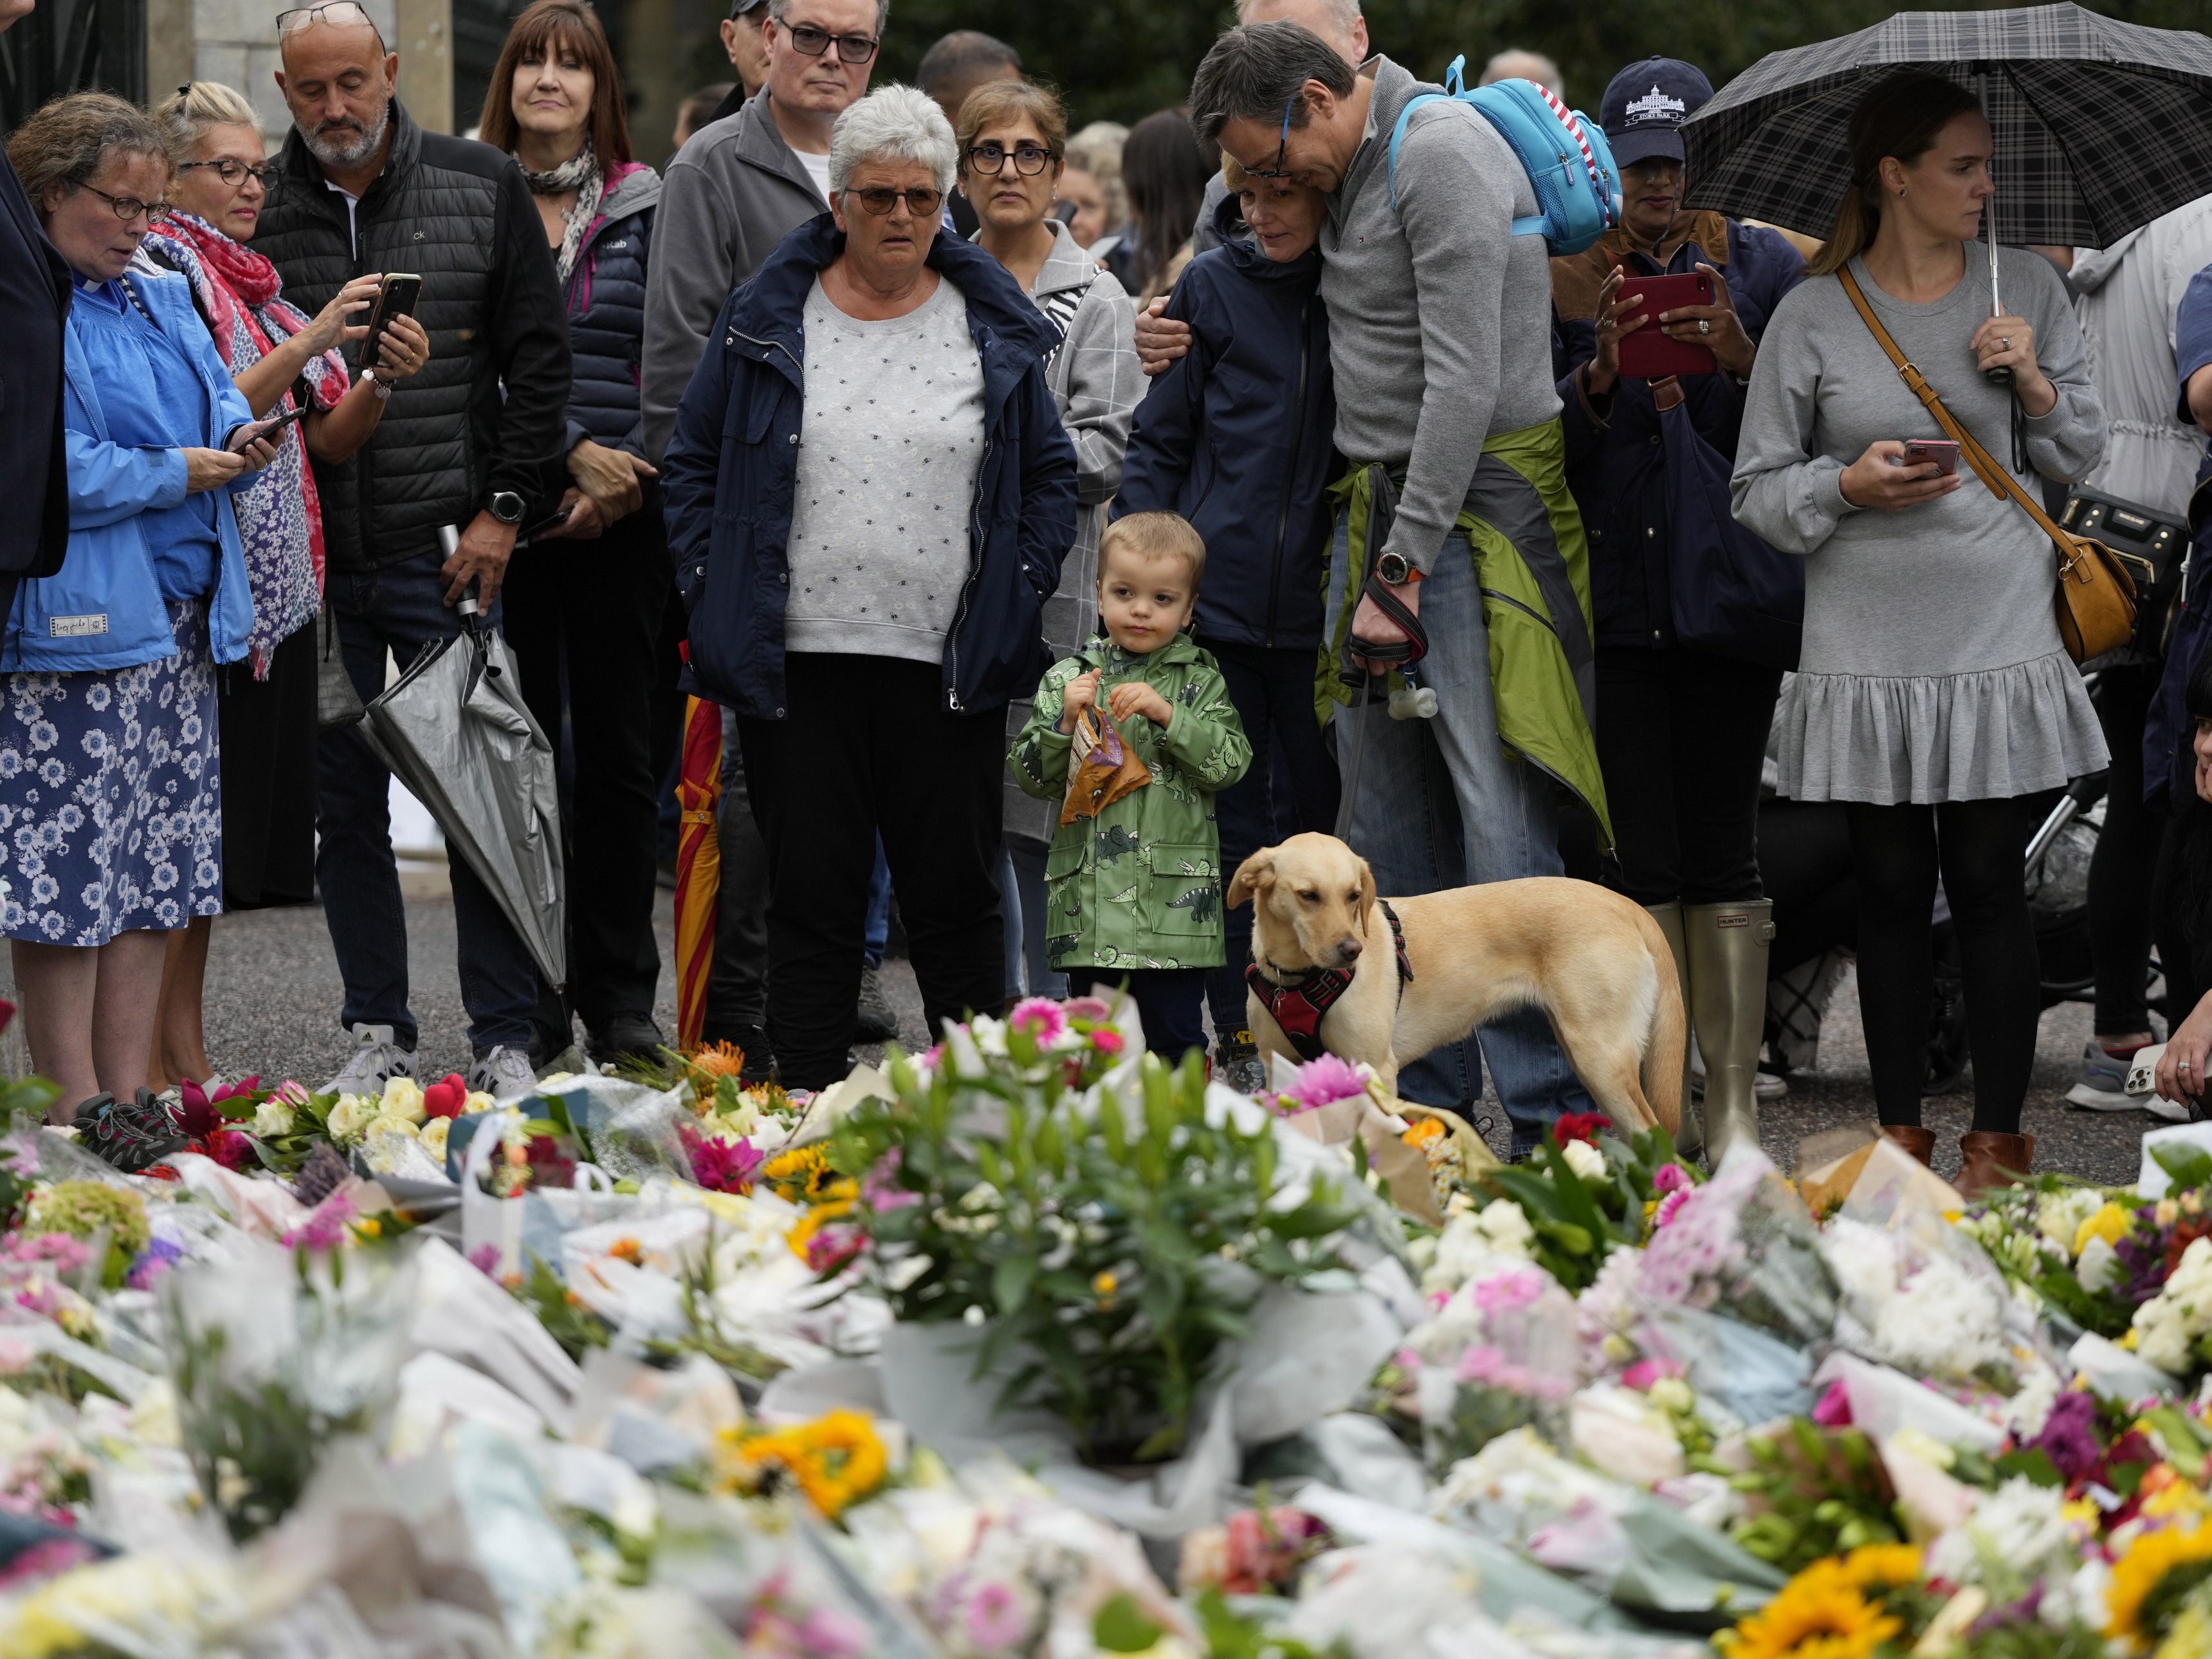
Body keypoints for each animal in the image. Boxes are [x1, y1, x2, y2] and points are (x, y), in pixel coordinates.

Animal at [1238, 836, 1681, 1141]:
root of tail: (1624, 903)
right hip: (1586, 1056)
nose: (1352, 951)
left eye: (1353, 896)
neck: (1296, 979)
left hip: (1601, 1060)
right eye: (1308, 896)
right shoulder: (1281, 1070)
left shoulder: (1375, 1070)